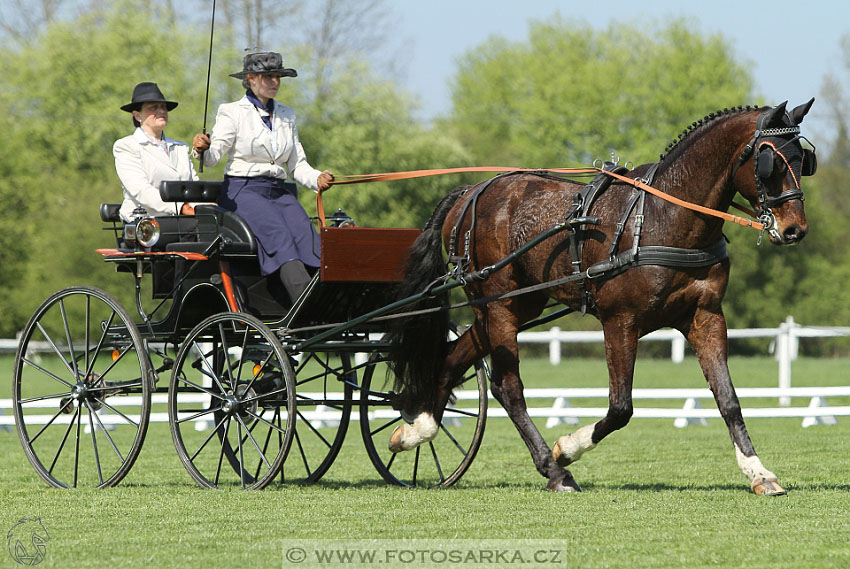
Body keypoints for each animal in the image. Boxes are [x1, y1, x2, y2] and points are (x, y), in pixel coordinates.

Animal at [384, 101, 816, 492]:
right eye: (770, 161)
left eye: (803, 159)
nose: (794, 229)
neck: (663, 218)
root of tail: (469, 192)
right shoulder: (619, 320)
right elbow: (621, 407)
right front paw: (567, 448)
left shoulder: (705, 315)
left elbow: (728, 399)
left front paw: (758, 472)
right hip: (499, 302)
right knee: (508, 387)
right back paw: (554, 471)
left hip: (516, 304)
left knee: (452, 359)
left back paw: (417, 429)